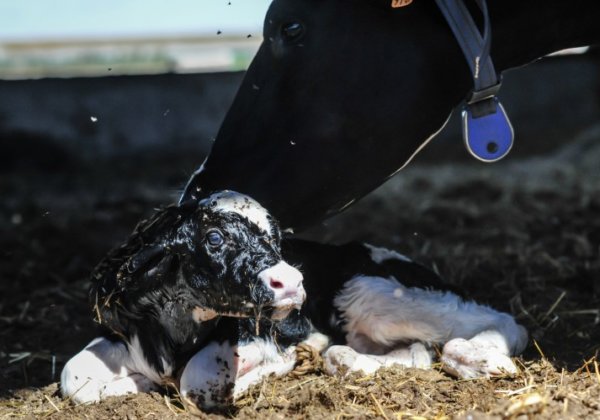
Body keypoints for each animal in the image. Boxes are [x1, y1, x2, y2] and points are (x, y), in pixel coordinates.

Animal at [63, 192, 528, 412]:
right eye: (214, 237)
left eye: (275, 238)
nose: (292, 281)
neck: (174, 337)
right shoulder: (126, 335)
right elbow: (72, 377)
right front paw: (136, 384)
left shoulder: (260, 334)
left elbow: (195, 381)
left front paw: (282, 366)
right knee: (410, 352)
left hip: (374, 293)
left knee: (502, 324)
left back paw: (482, 359)